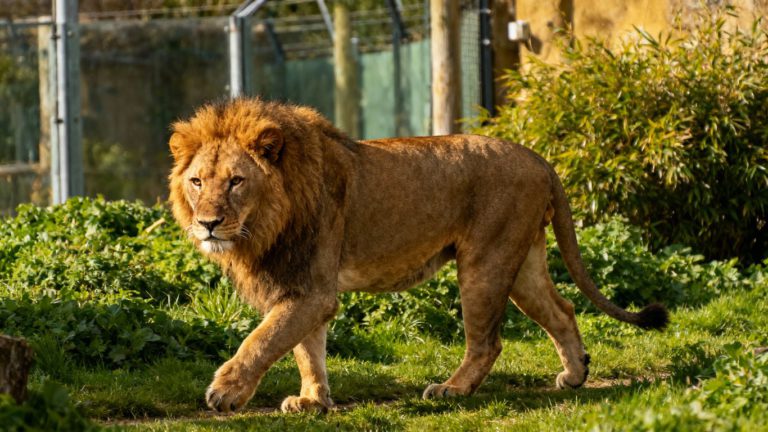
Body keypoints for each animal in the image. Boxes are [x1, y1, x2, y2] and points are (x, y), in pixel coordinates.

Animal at [168, 98, 668, 414]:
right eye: (197, 182)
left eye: (236, 181)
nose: (208, 223)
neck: (266, 222)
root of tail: (538, 158)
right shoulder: (300, 284)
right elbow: (306, 349)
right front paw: (312, 401)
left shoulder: (312, 290)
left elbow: (263, 340)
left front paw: (226, 392)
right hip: (523, 261)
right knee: (561, 310)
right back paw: (575, 375)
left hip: (485, 262)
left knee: (488, 341)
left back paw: (452, 389)